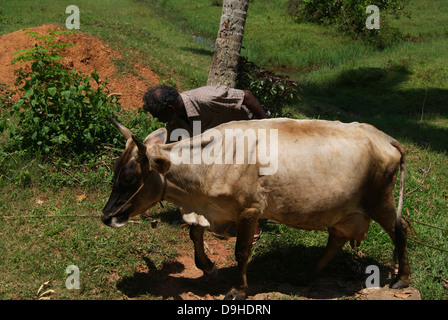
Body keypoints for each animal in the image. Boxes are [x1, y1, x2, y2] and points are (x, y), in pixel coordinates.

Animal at [101, 117, 410, 300]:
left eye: (129, 179)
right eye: (115, 172)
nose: (106, 216)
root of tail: (384, 137)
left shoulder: (249, 212)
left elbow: (241, 252)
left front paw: (237, 290)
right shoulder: (210, 209)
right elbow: (194, 233)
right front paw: (208, 266)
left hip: (380, 200)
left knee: (400, 230)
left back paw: (401, 279)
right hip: (344, 211)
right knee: (336, 240)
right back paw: (304, 276)